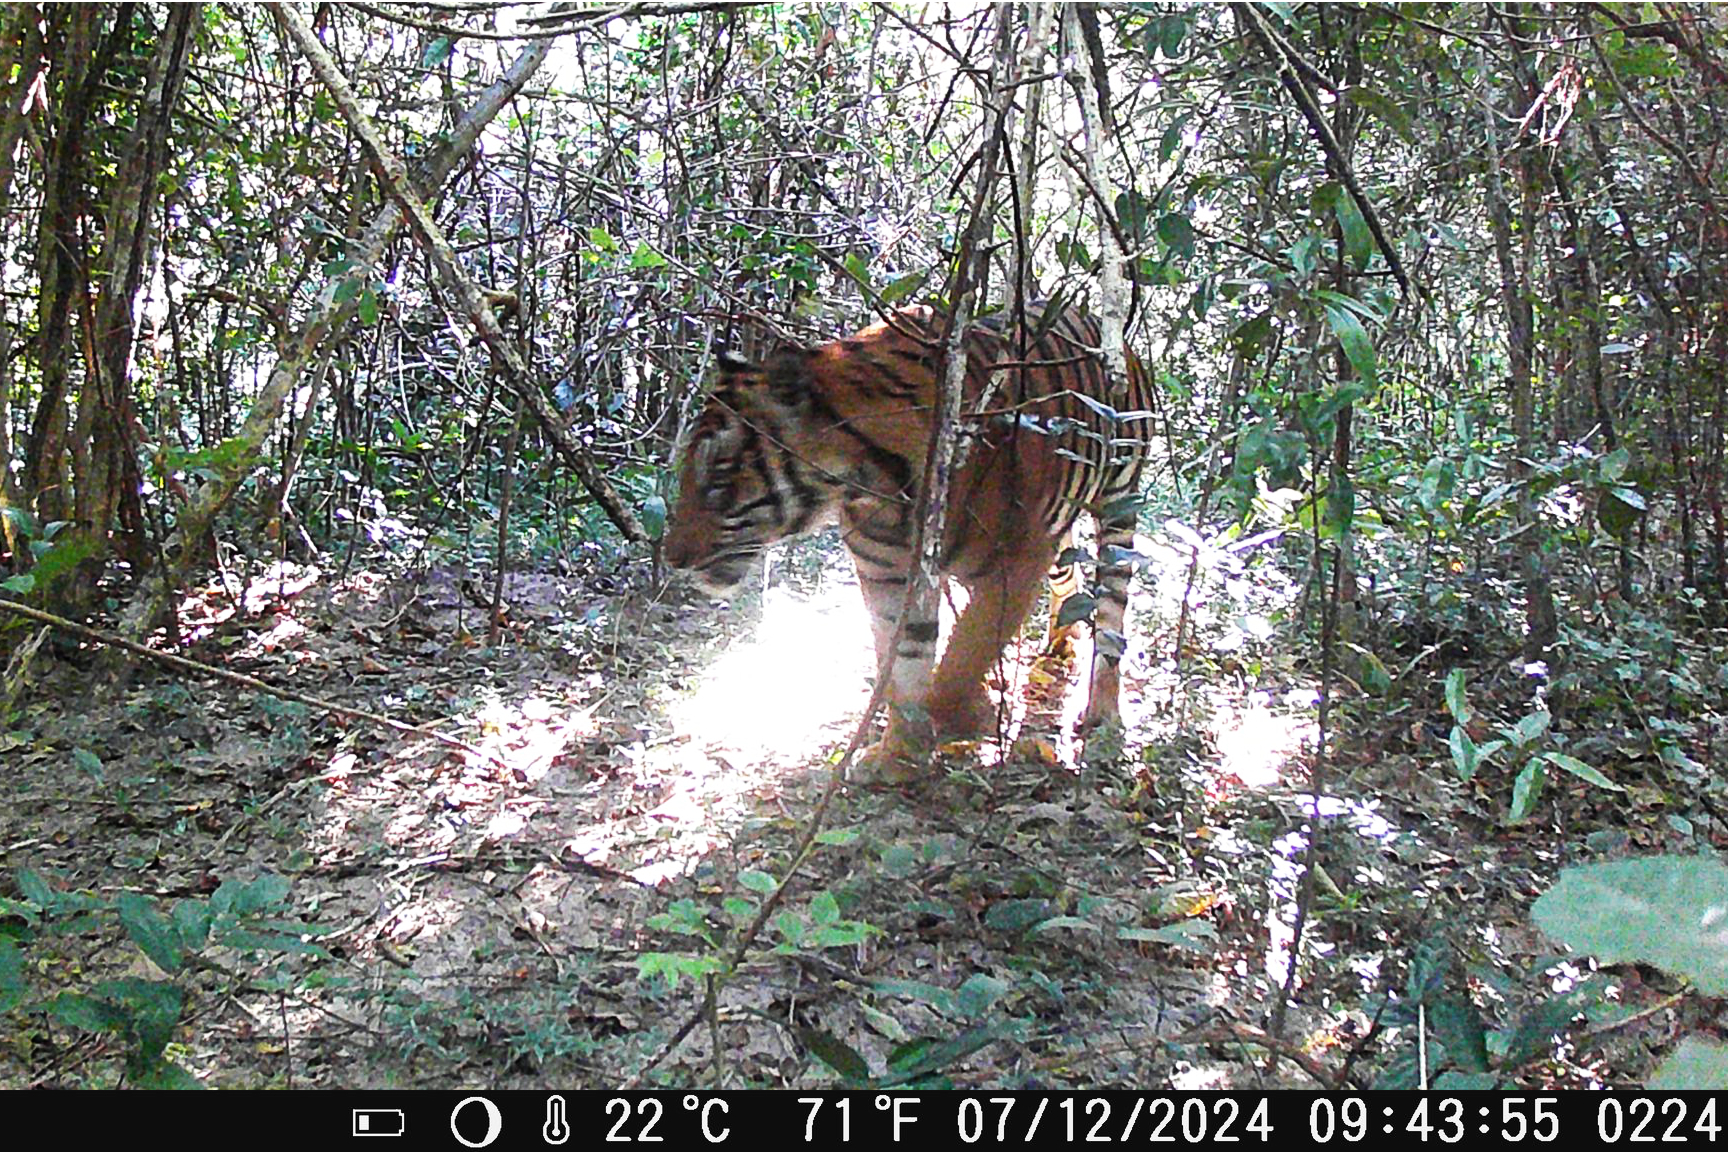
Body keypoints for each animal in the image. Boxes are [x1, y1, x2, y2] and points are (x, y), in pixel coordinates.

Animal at [667, 302, 1154, 770]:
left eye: (718, 480)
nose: (674, 558)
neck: (864, 486)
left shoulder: (1013, 562)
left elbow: (964, 654)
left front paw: (952, 721)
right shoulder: (887, 572)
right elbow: (905, 659)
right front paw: (900, 753)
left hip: (1118, 506)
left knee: (1111, 615)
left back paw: (1101, 713)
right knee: (1068, 575)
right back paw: (1059, 643)